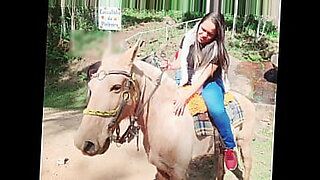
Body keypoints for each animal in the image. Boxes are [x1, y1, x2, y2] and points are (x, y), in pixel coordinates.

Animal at [73, 41, 255, 180]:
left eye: (116, 87)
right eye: (91, 86)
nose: (85, 143)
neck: (164, 118)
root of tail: (248, 101)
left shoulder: (179, 172)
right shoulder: (161, 169)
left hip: (244, 144)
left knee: (247, 167)